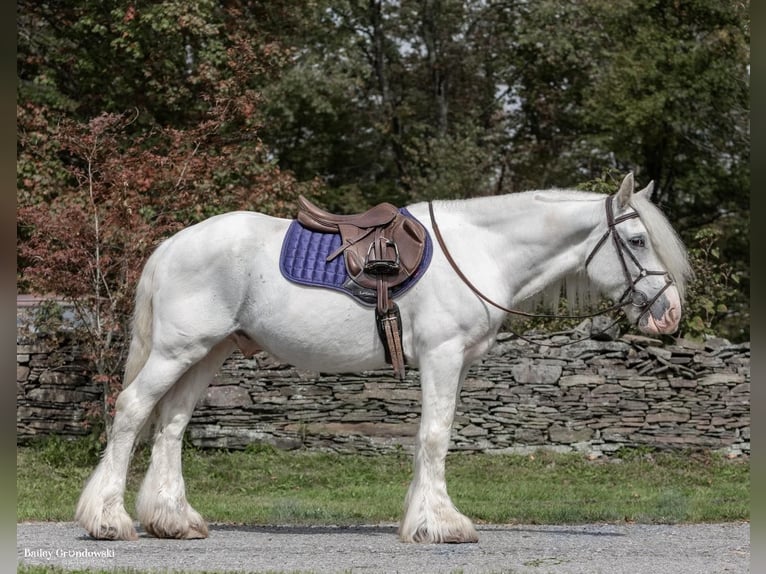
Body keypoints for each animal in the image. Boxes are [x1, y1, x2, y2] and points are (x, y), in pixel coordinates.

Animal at [78, 173, 696, 544]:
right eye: (637, 241)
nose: (669, 315)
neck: (480, 250)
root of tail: (172, 244)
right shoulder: (443, 357)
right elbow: (435, 437)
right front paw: (443, 525)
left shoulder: (455, 363)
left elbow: (430, 438)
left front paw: (423, 519)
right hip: (177, 350)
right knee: (133, 411)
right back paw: (108, 520)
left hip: (207, 353)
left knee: (172, 425)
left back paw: (173, 520)